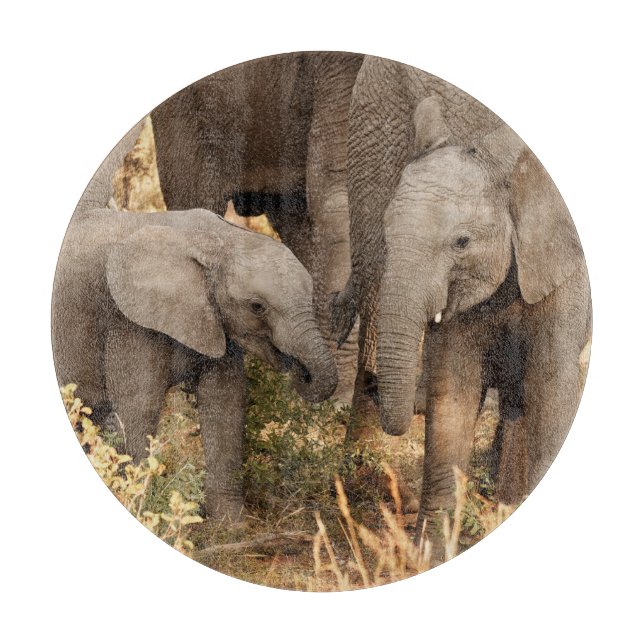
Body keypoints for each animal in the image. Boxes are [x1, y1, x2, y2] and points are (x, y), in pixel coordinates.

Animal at [52, 119, 337, 521]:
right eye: (257, 307)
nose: (300, 370)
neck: (218, 240)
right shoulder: (128, 319)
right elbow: (139, 405)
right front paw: (141, 507)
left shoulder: (216, 320)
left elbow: (225, 401)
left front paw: (230, 525)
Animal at [332, 57, 591, 535]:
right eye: (388, 233)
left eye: (462, 242)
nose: (376, 383)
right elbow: (452, 389)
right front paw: (431, 547)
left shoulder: (563, 271)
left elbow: (553, 386)